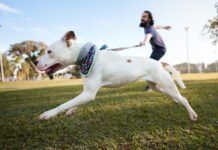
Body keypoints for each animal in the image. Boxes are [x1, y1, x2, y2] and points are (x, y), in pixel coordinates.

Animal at [37, 31, 198, 121]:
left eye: (49, 51)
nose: (35, 62)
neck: (89, 56)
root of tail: (160, 63)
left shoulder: (89, 94)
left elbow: (65, 103)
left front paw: (49, 114)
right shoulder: (86, 92)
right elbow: (73, 102)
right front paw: (72, 110)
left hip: (166, 84)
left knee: (183, 98)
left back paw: (192, 114)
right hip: (157, 86)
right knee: (172, 95)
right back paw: (175, 101)